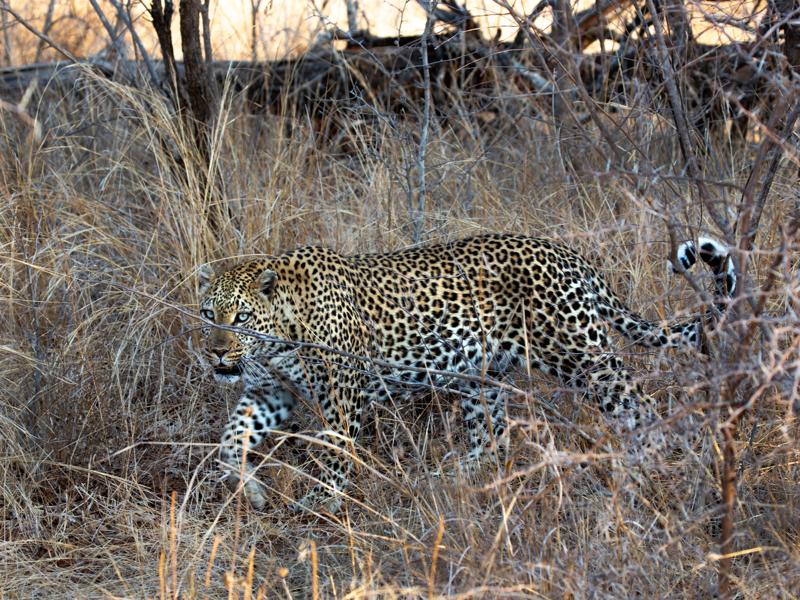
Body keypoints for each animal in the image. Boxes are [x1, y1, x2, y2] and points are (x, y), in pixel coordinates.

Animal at [196, 233, 735, 514]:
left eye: (240, 317)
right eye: (208, 313)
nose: (217, 354)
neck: (277, 338)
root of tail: (569, 254)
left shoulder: (341, 394)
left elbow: (334, 451)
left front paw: (318, 502)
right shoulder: (271, 392)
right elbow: (230, 439)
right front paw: (250, 489)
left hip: (580, 354)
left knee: (639, 406)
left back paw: (648, 468)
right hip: (480, 374)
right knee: (494, 439)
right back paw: (447, 479)